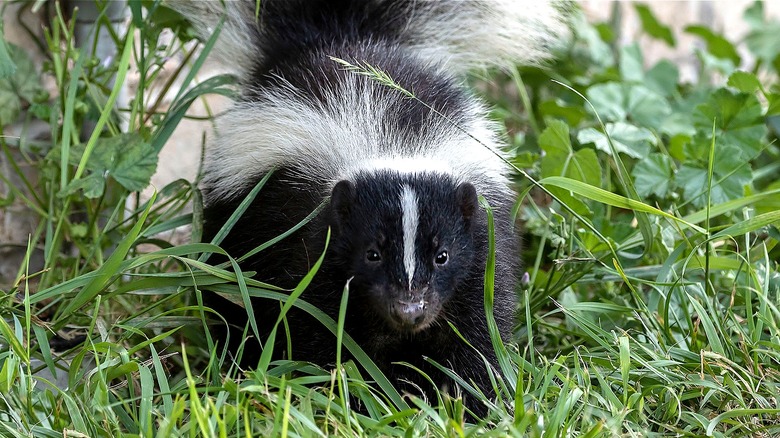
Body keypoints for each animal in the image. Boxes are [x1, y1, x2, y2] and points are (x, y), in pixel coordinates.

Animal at [172, 0, 568, 410]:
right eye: (372, 254)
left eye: (442, 255)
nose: (409, 310)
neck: (394, 146)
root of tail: (339, 39)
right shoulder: (313, 240)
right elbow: (322, 324)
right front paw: (347, 395)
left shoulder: (481, 244)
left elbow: (477, 327)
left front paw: (475, 400)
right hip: (238, 214)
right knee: (228, 288)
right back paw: (236, 353)